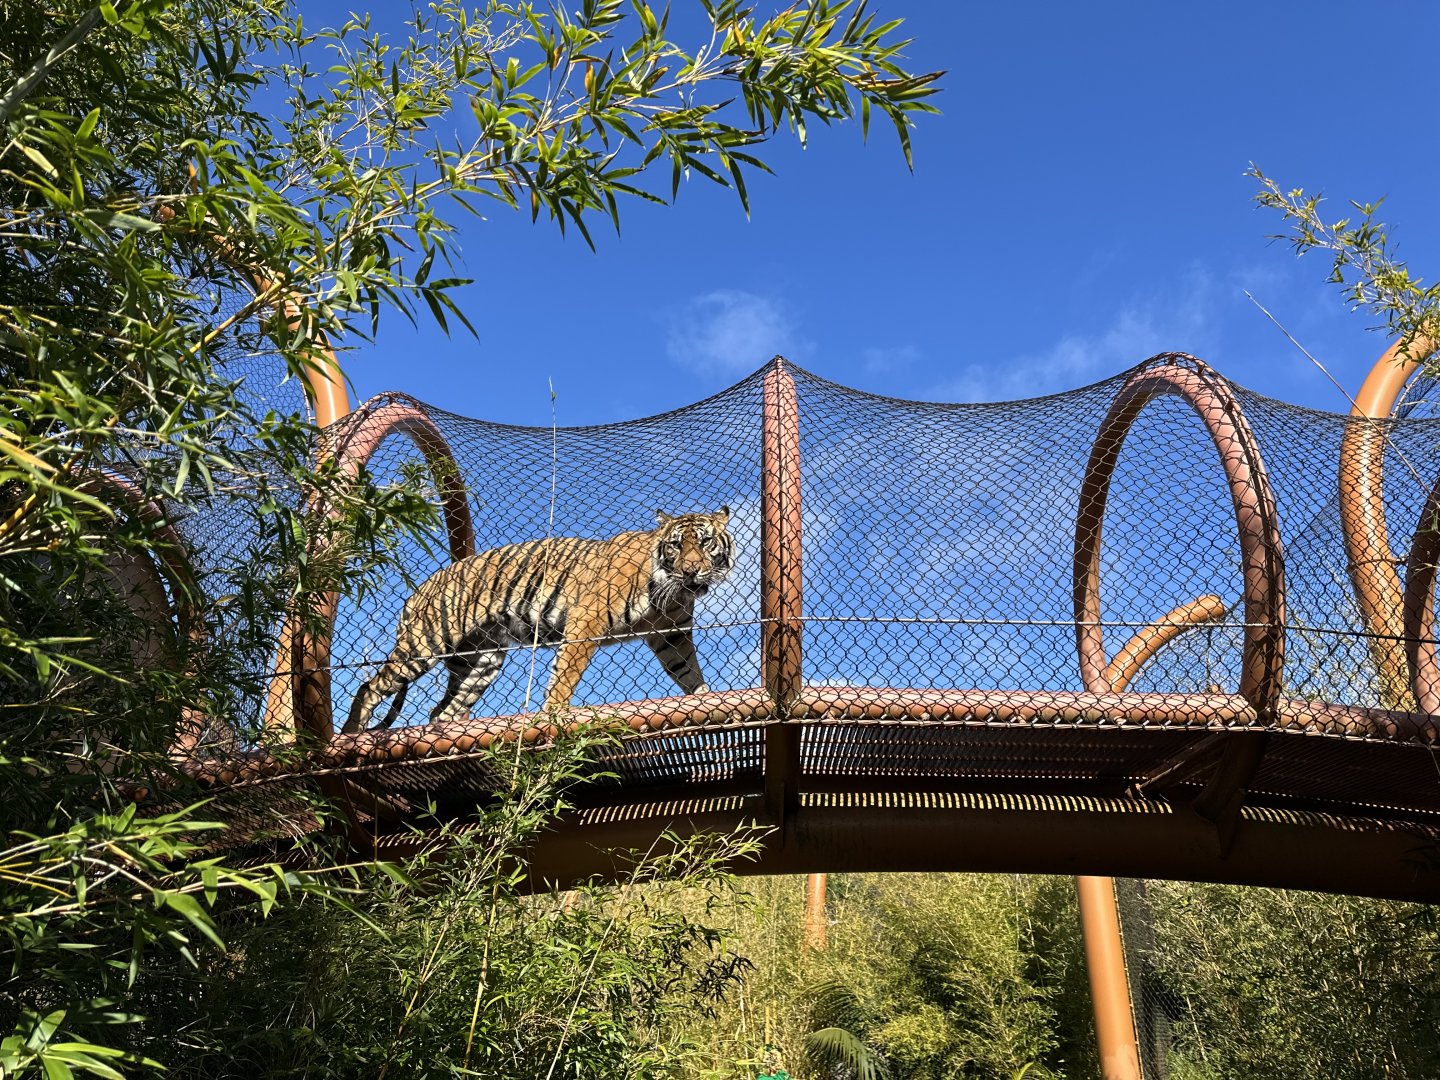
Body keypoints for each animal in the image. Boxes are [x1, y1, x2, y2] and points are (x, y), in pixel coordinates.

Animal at [343, 507, 733, 732]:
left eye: (704, 542)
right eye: (676, 545)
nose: (691, 570)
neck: (672, 591)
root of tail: (418, 589)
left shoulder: (671, 634)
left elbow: (688, 671)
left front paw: (705, 699)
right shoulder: (585, 621)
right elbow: (566, 673)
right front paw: (554, 712)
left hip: (481, 662)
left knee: (442, 712)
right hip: (424, 644)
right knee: (369, 687)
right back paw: (349, 736)